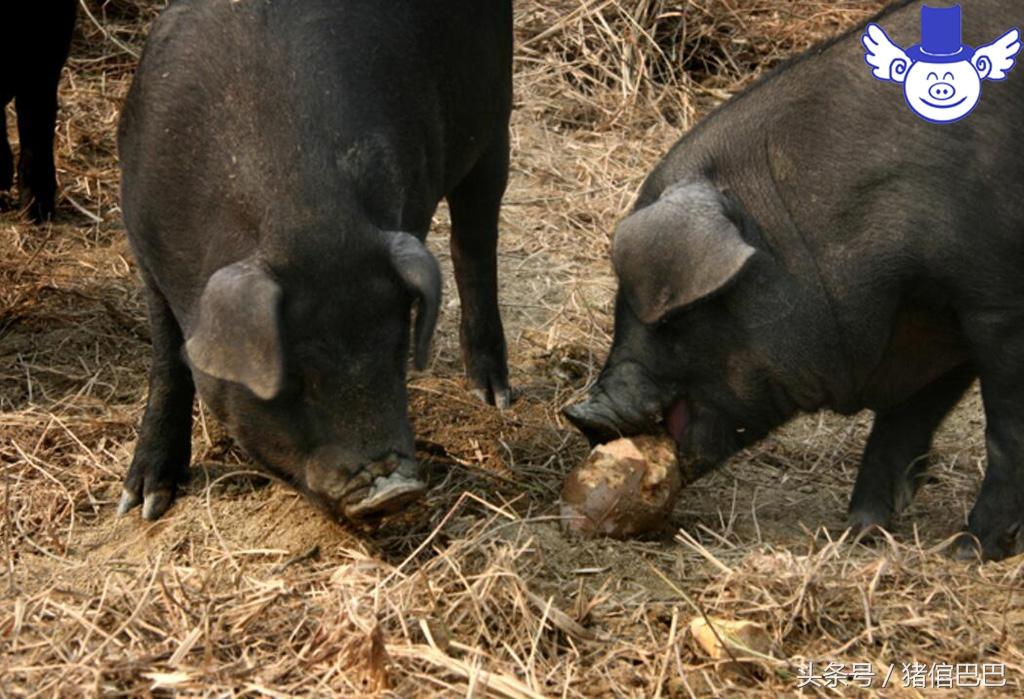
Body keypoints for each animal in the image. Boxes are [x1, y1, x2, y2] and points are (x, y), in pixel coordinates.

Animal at [118, 0, 512, 521]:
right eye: (292, 378)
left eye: (395, 352)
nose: (393, 489)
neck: (301, 210)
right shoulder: (143, 242)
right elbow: (168, 359)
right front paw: (141, 504)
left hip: (495, 117)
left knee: (476, 243)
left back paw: (494, 395)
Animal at [565, 0, 1024, 556]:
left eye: (676, 316)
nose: (582, 413)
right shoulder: (933, 325)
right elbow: (902, 424)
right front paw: (857, 533)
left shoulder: (996, 308)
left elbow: (1005, 433)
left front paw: (968, 551)